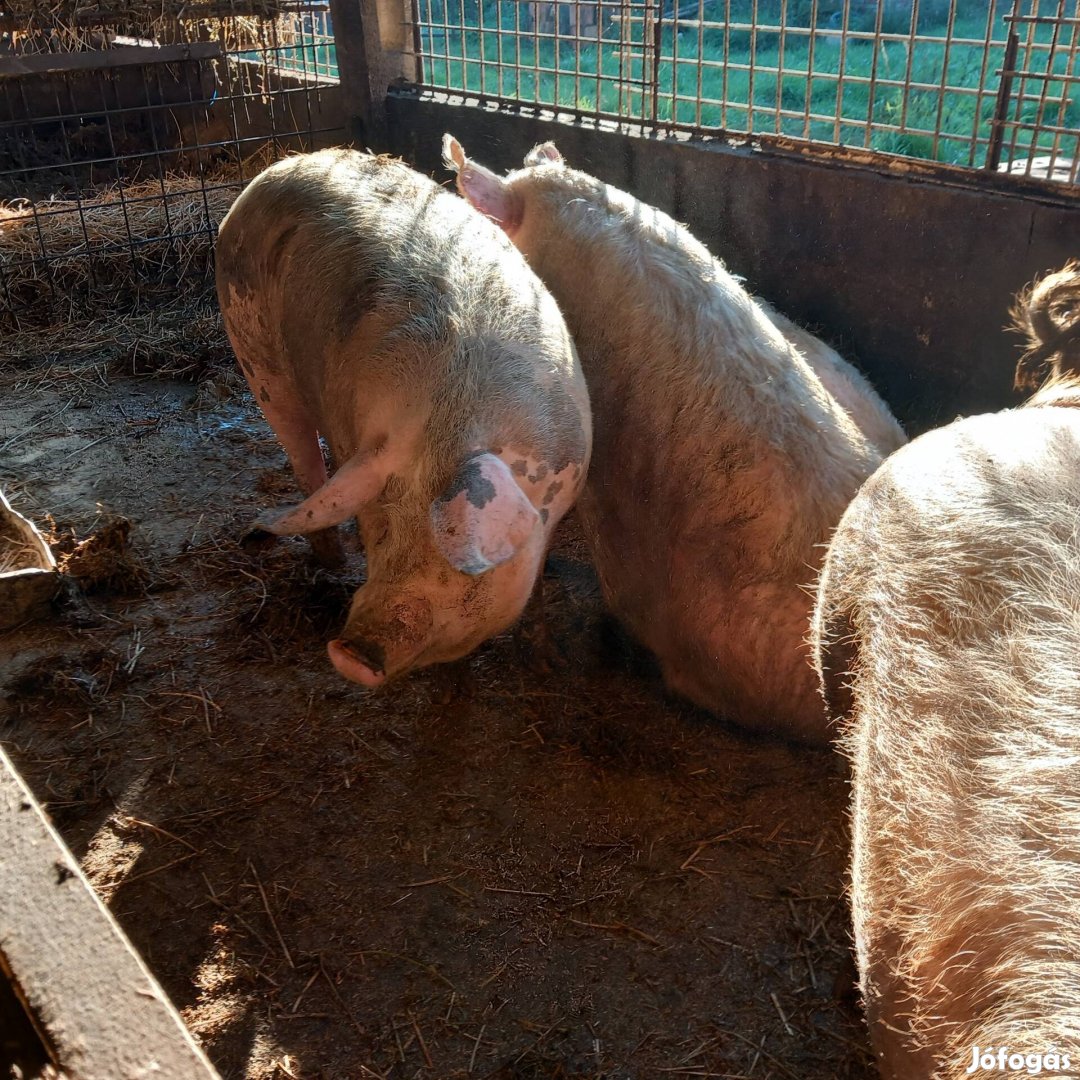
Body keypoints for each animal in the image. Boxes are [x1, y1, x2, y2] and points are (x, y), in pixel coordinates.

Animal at [216, 147, 596, 686]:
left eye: (459, 567)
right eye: (380, 530)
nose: (350, 654)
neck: (451, 420)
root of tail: (285, 164)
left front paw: (547, 665)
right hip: (253, 354)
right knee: (303, 457)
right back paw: (333, 561)